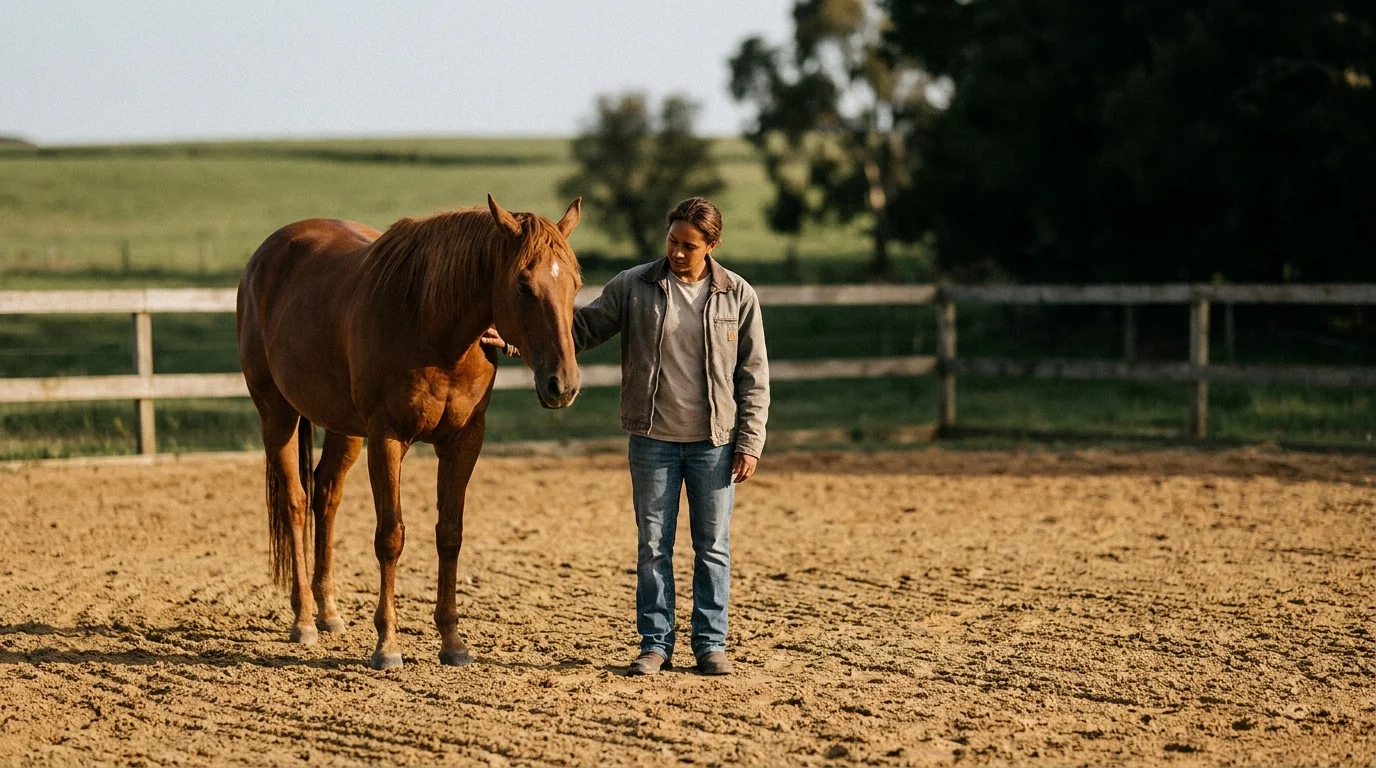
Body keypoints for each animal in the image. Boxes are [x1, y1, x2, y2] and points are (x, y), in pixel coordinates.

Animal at [236, 194, 583, 670]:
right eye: (523, 286)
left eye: (576, 284)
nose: (562, 385)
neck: (432, 328)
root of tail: (265, 256)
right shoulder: (387, 438)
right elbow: (391, 536)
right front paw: (387, 644)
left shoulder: (464, 441)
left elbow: (450, 534)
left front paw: (453, 642)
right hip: (278, 414)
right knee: (295, 503)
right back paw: (304, 619)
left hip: (345, 428)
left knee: (326, 496)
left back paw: (329, 613)